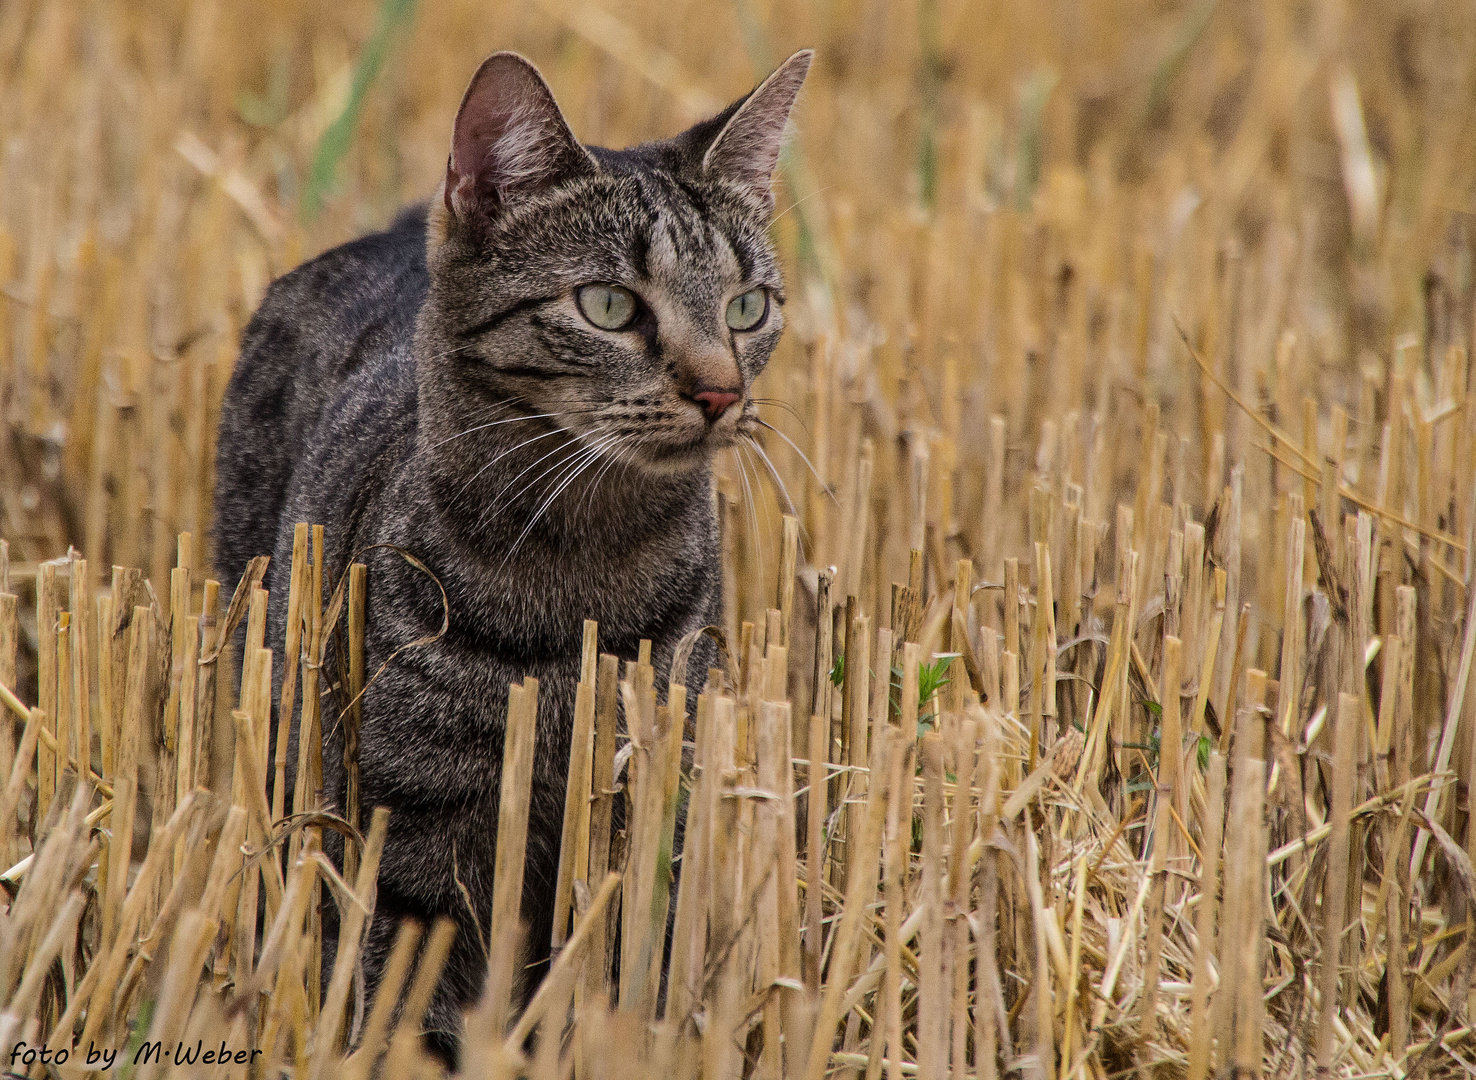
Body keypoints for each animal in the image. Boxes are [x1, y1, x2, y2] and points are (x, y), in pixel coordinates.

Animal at [214, 48, 814, 1056]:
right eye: (608, 305)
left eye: (746, 307)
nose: (722, 393)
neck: (584, 566)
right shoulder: (415, 832)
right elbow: (412, 1004)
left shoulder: (653, 806)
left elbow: (633, 972)